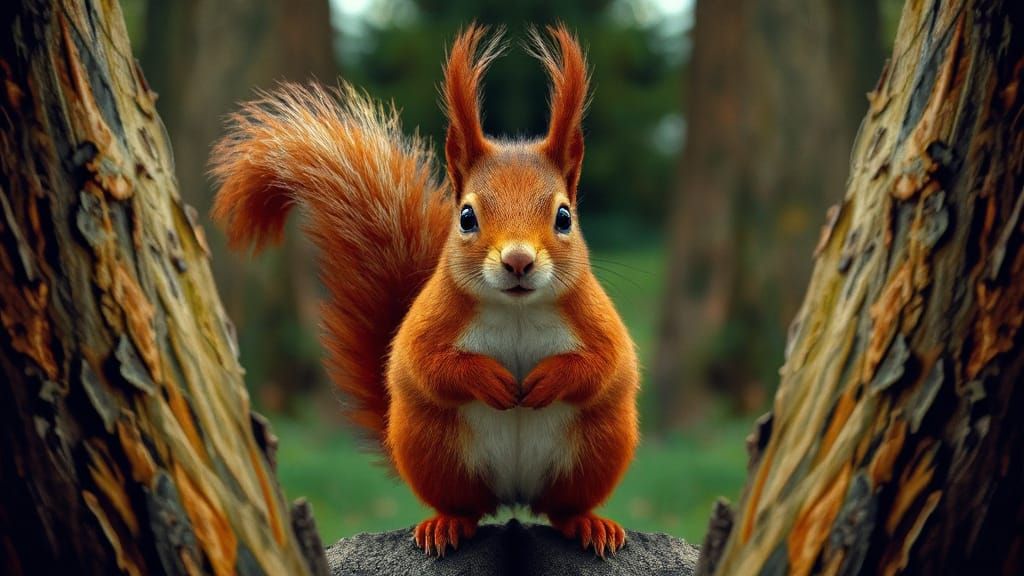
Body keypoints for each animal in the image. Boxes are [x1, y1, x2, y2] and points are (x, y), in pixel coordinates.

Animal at [210, 24, 639, 558]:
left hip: (597, 448)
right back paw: (447, 524)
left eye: (564, 217)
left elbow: (606, 362)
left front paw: (550, 379)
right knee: (465, 505)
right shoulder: (431, 317)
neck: (516, 311)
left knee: (561, 507)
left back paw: (587, 523)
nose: (518, 260)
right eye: (467, 216)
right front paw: (488, 379)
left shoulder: (593, 315)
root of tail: (514, 498)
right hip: (434, 447)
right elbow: (422, 363)